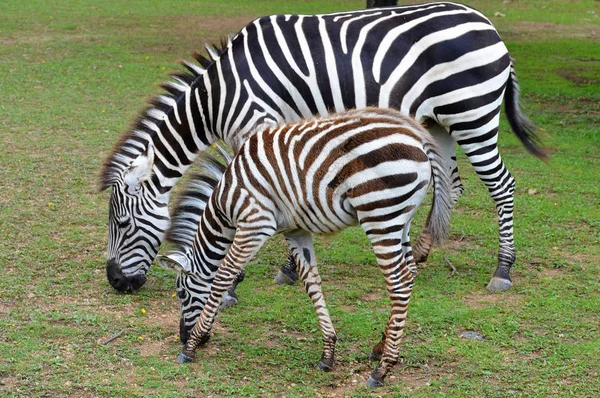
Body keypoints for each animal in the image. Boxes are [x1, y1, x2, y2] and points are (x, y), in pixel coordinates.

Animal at [102, 2, 544, 292]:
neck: (217, 97)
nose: (116, 282)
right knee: (452, 185)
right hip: (439, 124)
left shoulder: (257, 125)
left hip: (473, 115)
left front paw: (239, 276)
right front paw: (283, 268)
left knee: (501, 185)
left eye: (121, 224)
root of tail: (486, 23)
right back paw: (418, 255)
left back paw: (502, 269)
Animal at [157, 107, 452, 388]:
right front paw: (328, 353)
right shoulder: (295, 230)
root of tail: (418, 136)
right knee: (410, 274)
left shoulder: (255, 223)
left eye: (181, 293)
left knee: (399, 283)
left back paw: (382, 370)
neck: (225, 202)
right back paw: (381, 347)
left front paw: (190, 347)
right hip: (401, 219)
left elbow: (223, 275)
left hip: (379, 215)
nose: (181, 336)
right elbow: (311, 283)